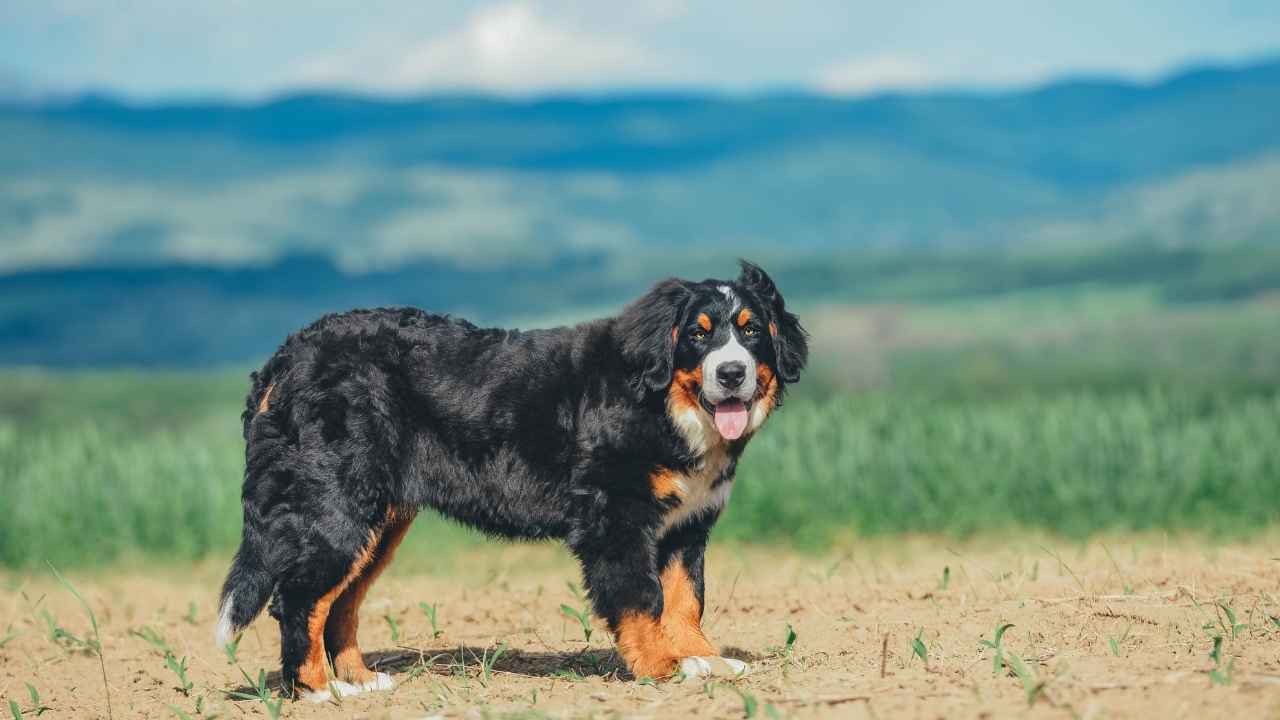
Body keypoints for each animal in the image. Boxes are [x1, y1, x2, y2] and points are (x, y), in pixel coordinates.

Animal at [215, 257, 803, 696]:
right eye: (698, 338)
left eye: (751, 331)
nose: (732, 373)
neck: (665, 405)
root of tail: (291, 353)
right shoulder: (616, 516)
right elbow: (642, 598)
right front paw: (664, 668)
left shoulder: (687, 524)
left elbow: (686, 601)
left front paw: (708, 661)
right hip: (336, 506)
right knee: (300, 599)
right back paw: (319, 690)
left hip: (377, 523)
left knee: (340, 603)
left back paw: (361, 681)